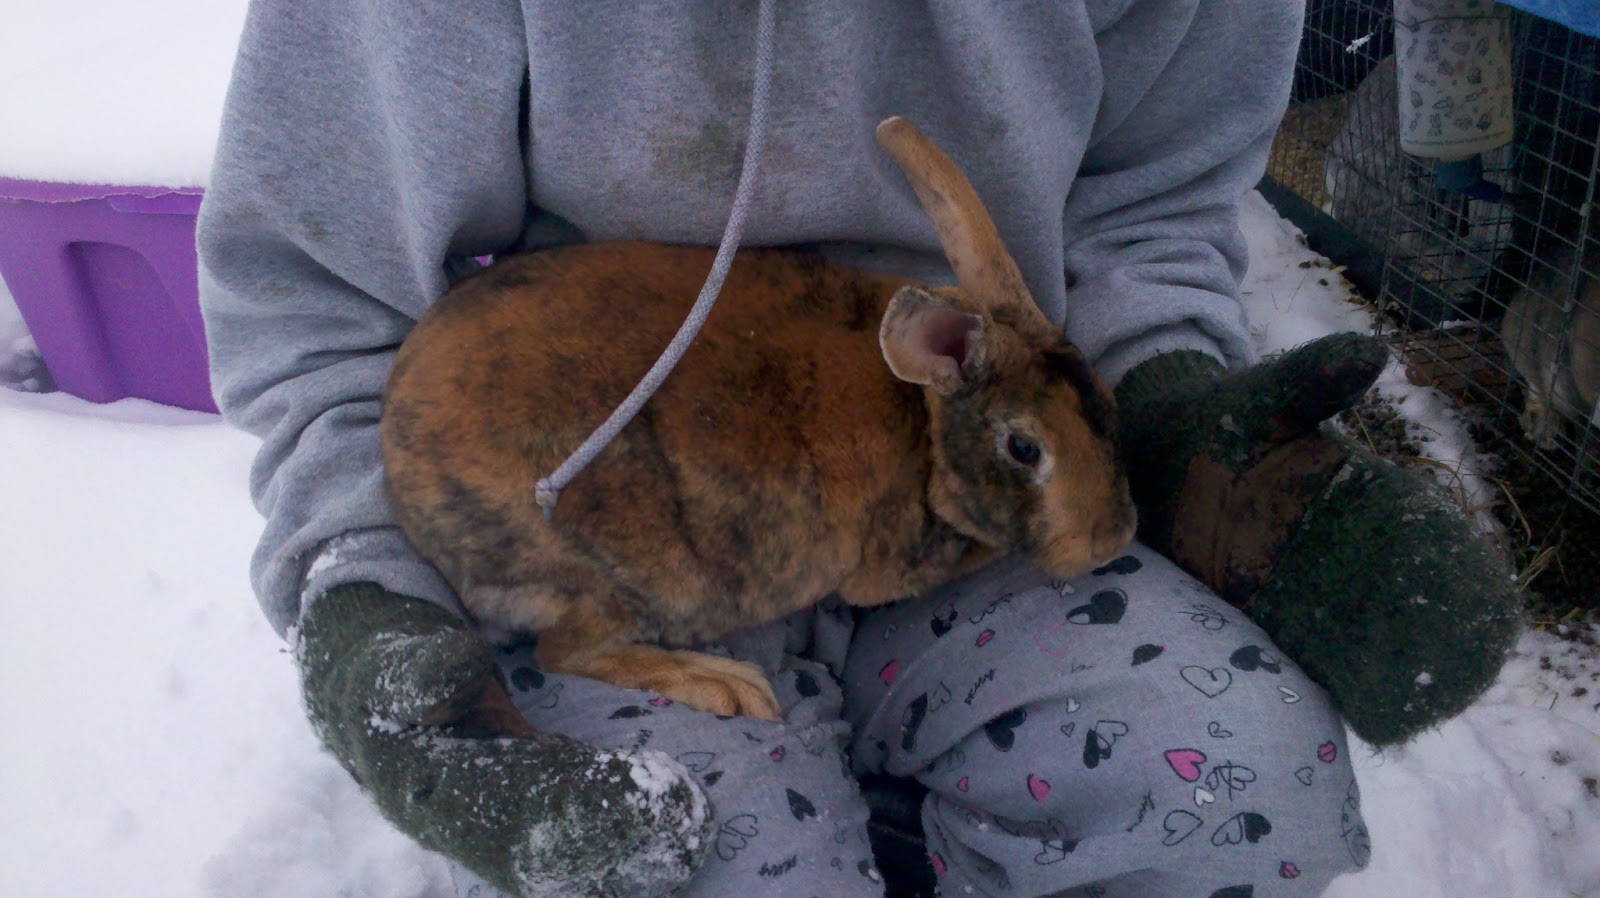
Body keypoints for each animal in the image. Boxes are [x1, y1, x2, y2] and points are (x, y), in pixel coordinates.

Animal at [381, 118, 1136, 720]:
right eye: (1024, 448)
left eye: (1106, 406)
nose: (1115, 538)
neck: (925, 424)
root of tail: (400, 471)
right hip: (617, 575)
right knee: (564, 649)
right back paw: (731, 687)